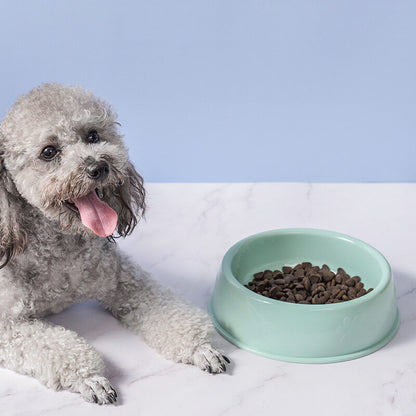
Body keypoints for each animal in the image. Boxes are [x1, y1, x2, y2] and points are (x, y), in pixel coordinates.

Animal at [0, 83, 229, 404]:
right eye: (49, 152)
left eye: (93, 136)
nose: (99, 167)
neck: (60, 249)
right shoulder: (7, 324)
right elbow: (58, 348)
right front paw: (90, 377)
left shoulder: (126, 280)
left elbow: (168, 310)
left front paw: (201, 348)